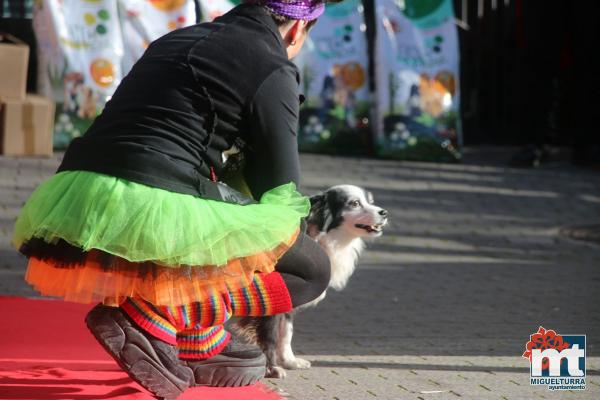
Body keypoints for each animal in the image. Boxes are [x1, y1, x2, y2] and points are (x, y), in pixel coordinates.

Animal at [232, 184, 386, 378]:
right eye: (355, 203)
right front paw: (271, 368)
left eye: (370, 201)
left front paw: (289, 361)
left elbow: (287, 331)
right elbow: (271, 335)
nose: (384, 212)